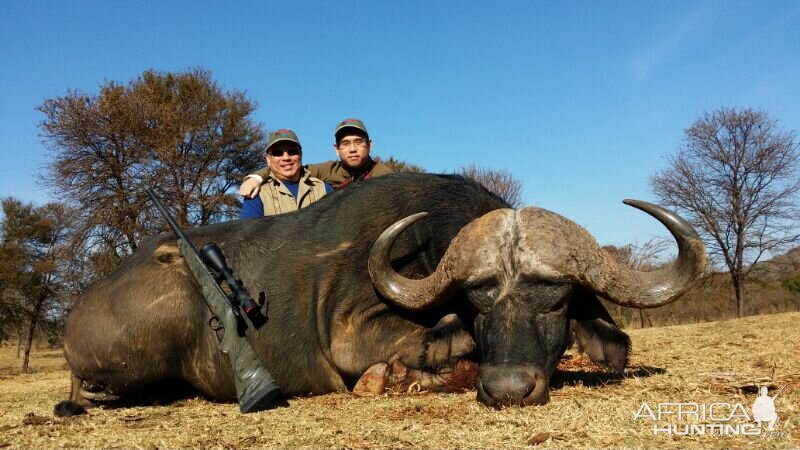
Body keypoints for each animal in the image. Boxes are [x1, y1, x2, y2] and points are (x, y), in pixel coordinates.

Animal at [57, 171, 708, 412]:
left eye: (557, 301)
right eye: (477, 305)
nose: (508, 388)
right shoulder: (352, 332)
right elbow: (438, 350)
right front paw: (395, 377)